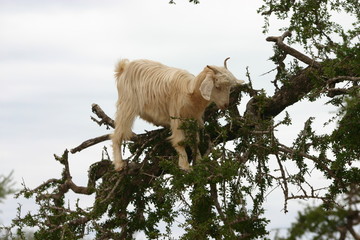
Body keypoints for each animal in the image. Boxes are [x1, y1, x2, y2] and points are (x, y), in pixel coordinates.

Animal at [112, 58, 245, 171]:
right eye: (217, 86)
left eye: (229, 87)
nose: (225, 105)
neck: (190, 94)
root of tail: (123, 68)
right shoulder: (176, 116)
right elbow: (180, 141)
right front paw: (185, 166)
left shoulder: (193, 119)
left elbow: (194, 141)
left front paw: (199, 162)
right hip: (126, 105)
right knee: (117, 134)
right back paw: (119, 164)